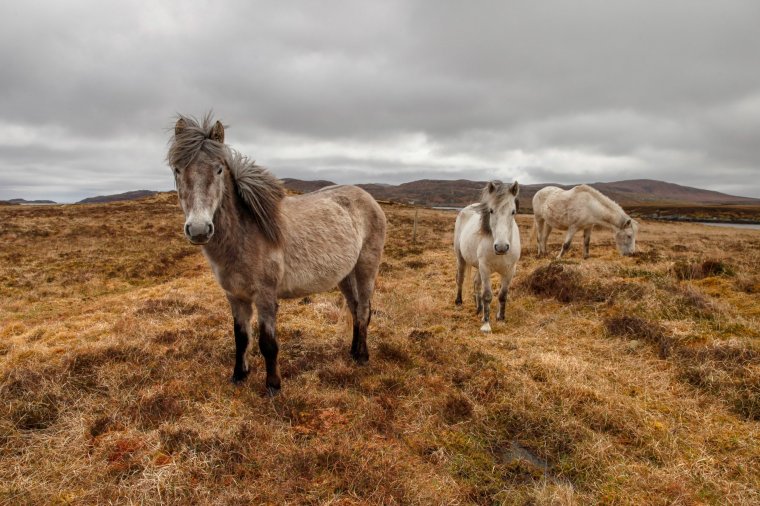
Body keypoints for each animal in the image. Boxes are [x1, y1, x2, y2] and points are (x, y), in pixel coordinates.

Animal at [454, 181, 520, 332]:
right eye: (491, 211)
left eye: (513, 212)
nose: (501, 247)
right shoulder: (485, 268)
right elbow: (488, 295)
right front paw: (486, 323)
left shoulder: (510, 270)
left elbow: (502, 295)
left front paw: (501, 318)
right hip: (461, 258)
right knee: (460, 278)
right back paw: (459, 301)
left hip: (478, 266)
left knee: (476, 283)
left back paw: (479, 308)